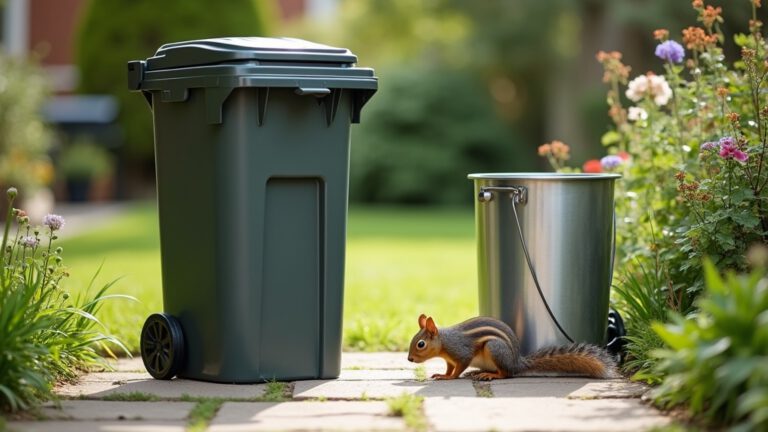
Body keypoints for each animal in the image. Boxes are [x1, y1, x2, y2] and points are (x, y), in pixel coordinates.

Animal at [407, 314, 619, 380]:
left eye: (420, 344)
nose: (409, 359)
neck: (445, 342)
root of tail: (516, 362)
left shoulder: (461, 352)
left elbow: (459, 368)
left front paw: (449, 378)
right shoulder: (450, 359)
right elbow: (450, 368)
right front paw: (442, 374)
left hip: (494, 348)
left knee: (506, 374)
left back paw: (490, 375)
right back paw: (477, 373)